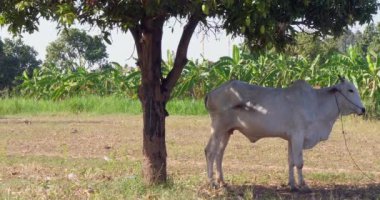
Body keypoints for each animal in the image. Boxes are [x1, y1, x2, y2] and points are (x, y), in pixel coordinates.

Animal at [205, 77, 366, 191]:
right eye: (350, 90)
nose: (363, 109)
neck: (316, 103)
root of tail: (212, 92)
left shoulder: (291, 139)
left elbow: (291, 161)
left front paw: (292, 185)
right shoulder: (298, 135)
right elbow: (299, 162)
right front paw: (303, 185)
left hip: (226, 131)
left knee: (219, 154)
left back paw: (222, 181)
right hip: (217, 128)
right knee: (210, 152)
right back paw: (212, 183)